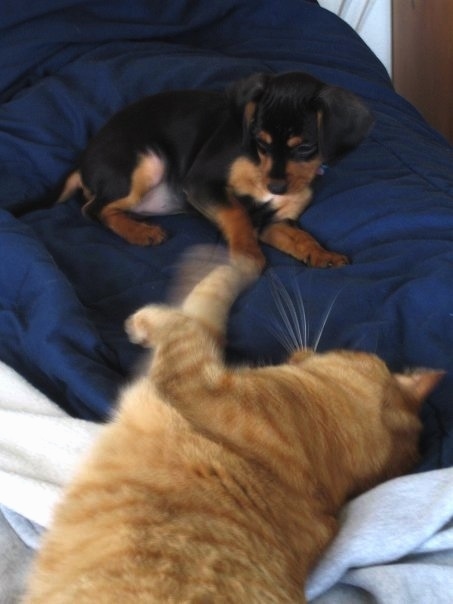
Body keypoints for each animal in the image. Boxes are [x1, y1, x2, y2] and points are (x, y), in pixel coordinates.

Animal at [59, 71, 370, 268]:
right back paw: (140, 233)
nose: (276, 187)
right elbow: (237, 213)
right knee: (93, 209)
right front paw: (247, 253)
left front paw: (323, 254)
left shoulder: (275, 221)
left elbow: (302, 237)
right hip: (148, 162)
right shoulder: (202, 183)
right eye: (260, 142)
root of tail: (82, 162)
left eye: (305, 148)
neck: (258, 164)